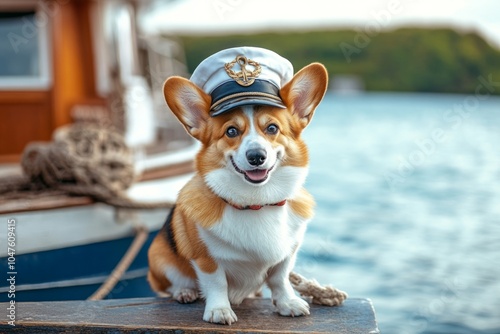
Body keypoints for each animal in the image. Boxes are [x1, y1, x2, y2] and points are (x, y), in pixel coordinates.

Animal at [148, 47, 328, 324]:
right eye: (231, 132)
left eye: (272, 128)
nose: (256, 156)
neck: (257, 202)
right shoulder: (206, 258)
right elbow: (217, 283)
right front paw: (219, 310)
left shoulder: (287, 254)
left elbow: (280, 278)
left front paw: (287, 303)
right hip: (158, 256)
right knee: (170, 285)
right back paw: (184, 291)